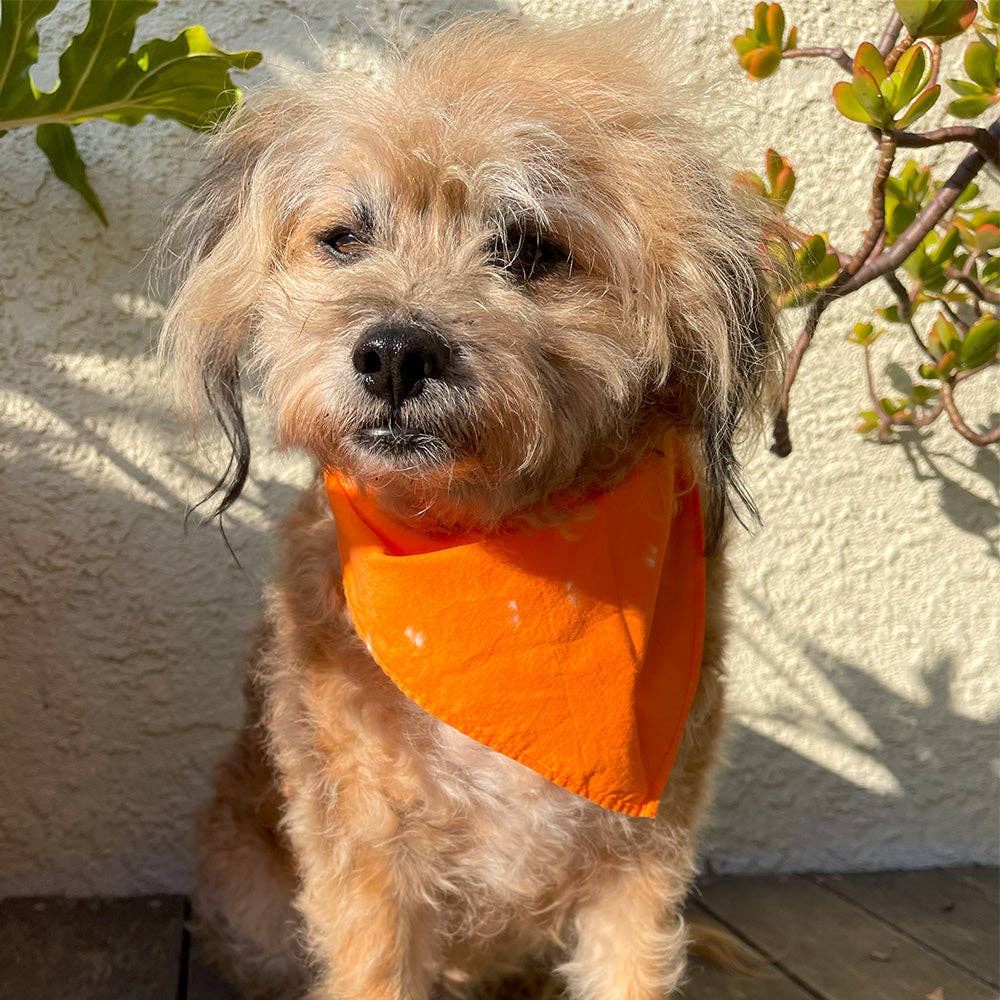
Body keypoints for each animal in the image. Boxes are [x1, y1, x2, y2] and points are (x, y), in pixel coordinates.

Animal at [160, 14, 779, 999]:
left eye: (528, 249)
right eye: (345, 237)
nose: (393, 354)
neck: (493, 547)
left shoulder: (642, 864)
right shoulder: (369, 859)